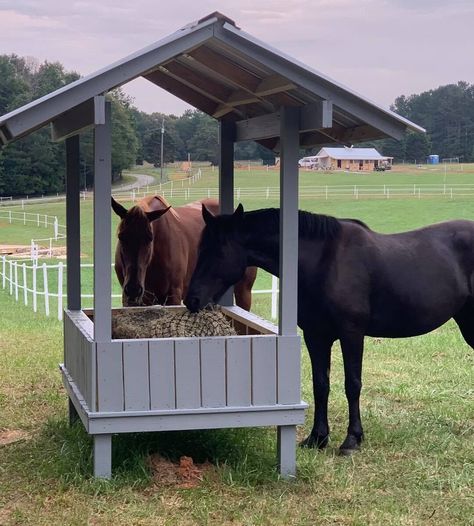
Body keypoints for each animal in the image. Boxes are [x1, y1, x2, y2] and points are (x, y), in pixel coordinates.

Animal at [184, 204, 474, 456]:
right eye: (199, 248)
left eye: (219, 250)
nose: (192, 300)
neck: (323, 261)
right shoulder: (316, 336)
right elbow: (320, 384)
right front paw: (317, 437)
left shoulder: (351, 333)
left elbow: (352, 384)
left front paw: (352, 440)